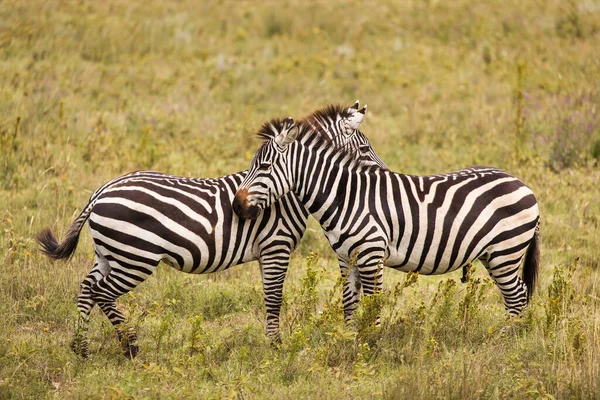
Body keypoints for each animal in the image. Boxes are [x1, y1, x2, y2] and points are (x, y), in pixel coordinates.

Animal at [36, 101, 384, 358]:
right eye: (365, 149)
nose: (384, 176)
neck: (285, 191)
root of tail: (103, 190)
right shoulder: (276, 246)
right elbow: (275, 297)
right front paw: (277, 348)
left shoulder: (267, 252)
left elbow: (268, 297)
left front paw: (271, 343)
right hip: (135, 257)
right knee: (102, 293)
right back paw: (131, 346)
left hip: (110, 254)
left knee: (86, 288)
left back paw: (81, 348)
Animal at [233, 104, 540, 326]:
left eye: (264, 166)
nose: (236, 207)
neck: (346, 195)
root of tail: (523, 184)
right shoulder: (346, 257)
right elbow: (349, 302)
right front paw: (349, 341)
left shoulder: (372, 254)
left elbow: (373, 304)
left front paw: (372, 344)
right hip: (493, 254)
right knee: (518, 296)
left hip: (505, 251)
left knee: (517, 296)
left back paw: (503, 342)